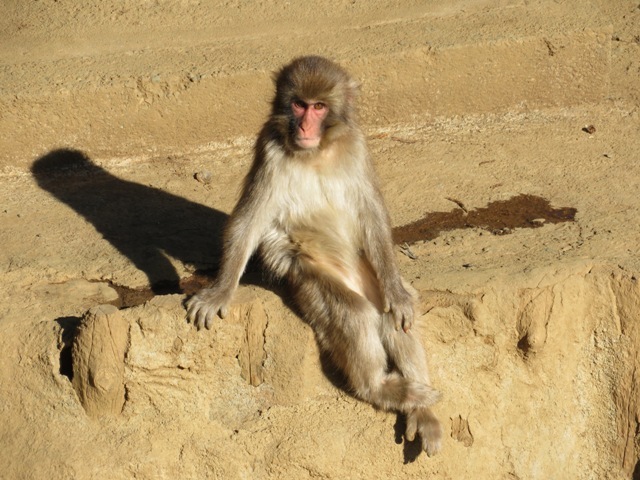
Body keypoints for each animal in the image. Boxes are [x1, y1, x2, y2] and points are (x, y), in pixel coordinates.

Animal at [188, 54, 442, 456]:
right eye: (299, 104)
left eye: (319, 107)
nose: (306, 124)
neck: (317, 151)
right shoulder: (269, 151)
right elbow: (248, 223)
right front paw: (218, 292)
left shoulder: (357, 146)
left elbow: (371, 214)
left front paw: (397, 293)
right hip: (310, 280)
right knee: (354, 312)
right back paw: (383, 389)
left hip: (367, 270)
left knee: (391, 312)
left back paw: (422, 409)